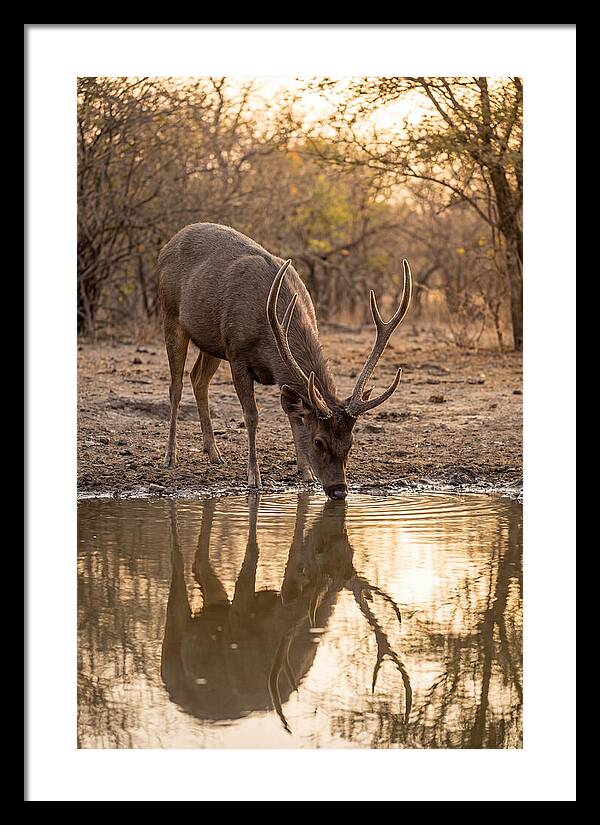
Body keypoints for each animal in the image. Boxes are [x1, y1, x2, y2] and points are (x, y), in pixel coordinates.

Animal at [157, 223, 413, 500]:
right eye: (319, 441)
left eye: (351, 442)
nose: (339, 490)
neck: (268, 334)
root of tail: (168, 244)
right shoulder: (237, 354)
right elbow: (252, 415)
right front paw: (254, 477)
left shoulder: (271, 369)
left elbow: (294, 415)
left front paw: (306, 473)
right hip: (171, 314)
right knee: (176, 386)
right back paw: (170, 457)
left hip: (211, 341)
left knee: (198, 379)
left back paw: (214, 454)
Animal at [161, 494, 412, 735]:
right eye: (321, 548)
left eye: (351, 550)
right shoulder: (236, 624)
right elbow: (255, 553)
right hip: (173, 647)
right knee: (178, 573)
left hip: (215, 606)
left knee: (200, 566)